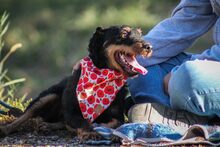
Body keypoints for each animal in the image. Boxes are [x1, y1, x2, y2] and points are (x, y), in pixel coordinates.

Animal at [0, 25, 152, 140]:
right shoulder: (72, 111)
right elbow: (83, 122)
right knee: (25, 116)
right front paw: (90, 131)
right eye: (123, 33)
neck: (103, 76)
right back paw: (7, 129)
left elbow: (114, 123)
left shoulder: (117, 115)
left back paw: (49, 125)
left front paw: (106, 130)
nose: (148, 46)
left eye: (140, 34)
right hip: (48, 96)